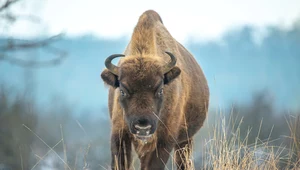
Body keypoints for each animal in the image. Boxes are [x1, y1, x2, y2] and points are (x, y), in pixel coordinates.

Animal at [100, 9, 209, 170]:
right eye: (122, 91)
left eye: (160, 90)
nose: (142, 127)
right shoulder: (120, 134)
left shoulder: (164, 140)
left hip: (185, 140)